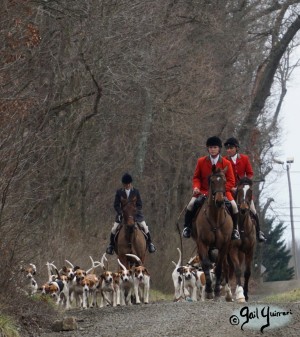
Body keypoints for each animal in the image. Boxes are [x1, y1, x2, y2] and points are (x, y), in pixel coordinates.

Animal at [193, 165, 233, 300]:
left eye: (224, 181)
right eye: (212, 181)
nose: (220, 201)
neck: (215, 217)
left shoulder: (224, 245)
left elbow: (219, 267)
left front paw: (216, 291)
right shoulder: (202, 243)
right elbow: (206, 264)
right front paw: (209, 290)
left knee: (225, 266)